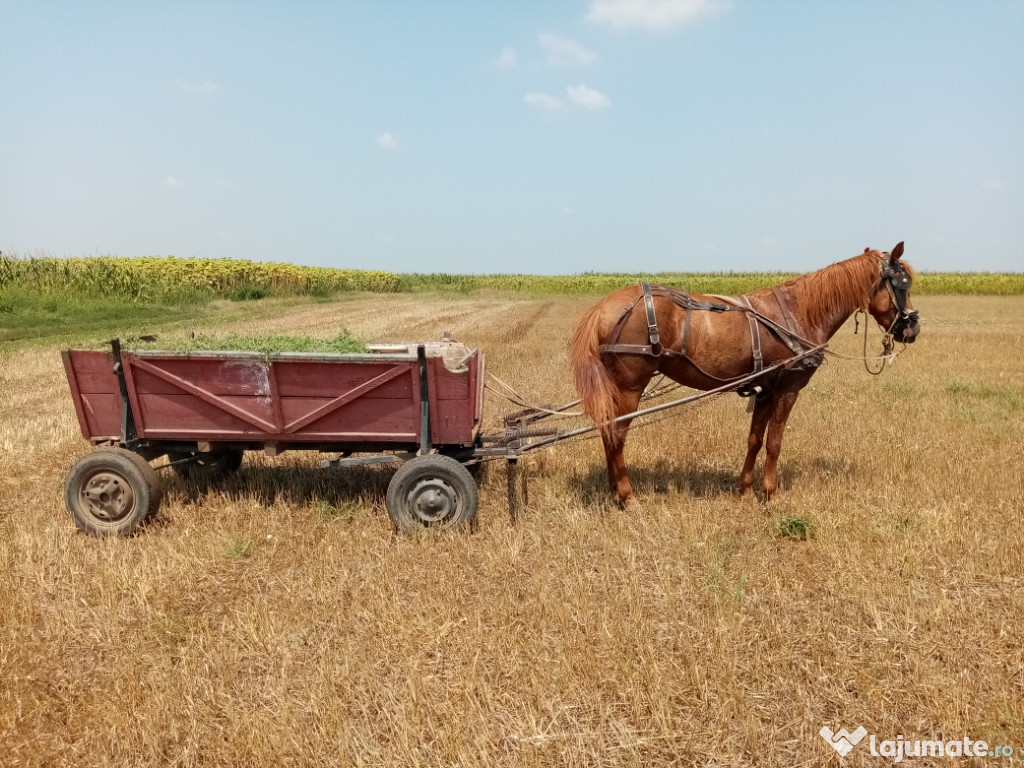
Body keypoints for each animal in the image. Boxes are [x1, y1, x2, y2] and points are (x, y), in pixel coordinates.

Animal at [569, 243, 921, 507]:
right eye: (903, 283)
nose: (912, 328)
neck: (801, 311)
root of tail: (602, 308)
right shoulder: (788, 387)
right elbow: (775, 442)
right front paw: (770, 493)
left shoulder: (765, 389)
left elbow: (755, 439)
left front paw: (746, 488)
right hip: (630, 385)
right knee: (616, 435)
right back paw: (627, 496)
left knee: (607, 433)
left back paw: (614, 491)